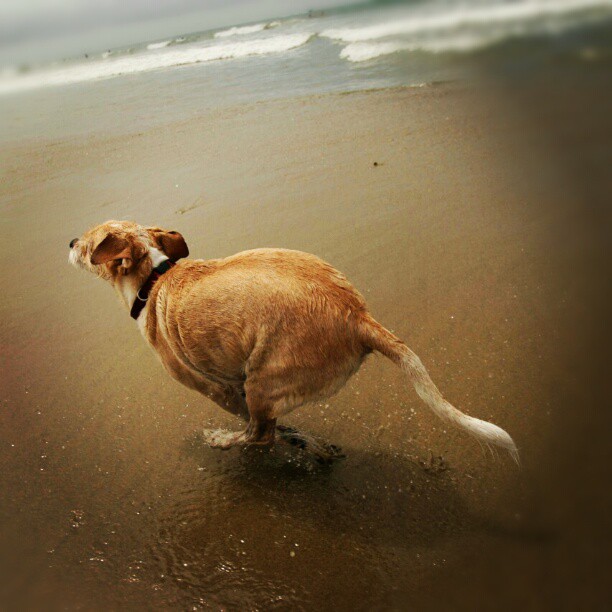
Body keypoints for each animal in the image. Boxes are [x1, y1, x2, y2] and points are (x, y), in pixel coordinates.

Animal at [69, 221, 520, 464]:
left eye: (89, 242)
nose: (70, 242)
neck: (154, 277)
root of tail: (357, 316)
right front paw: (313, 446)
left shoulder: (217, 389)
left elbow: (264, 426)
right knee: (265, 430)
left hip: (261, 381)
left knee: (259, 435)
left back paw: (224, 441)